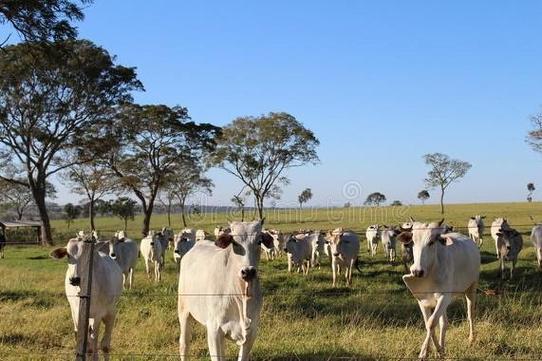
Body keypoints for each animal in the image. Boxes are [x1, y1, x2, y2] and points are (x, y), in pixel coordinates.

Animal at [178, 219, 274, 360]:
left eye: (259, 241)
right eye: (234, 242)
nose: (248, 272)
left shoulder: (251, 334)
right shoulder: (214, 330)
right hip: (184, 310)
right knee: (184, 344)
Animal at [400, 219, 480, 360]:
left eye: (431, 242)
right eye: (412, 242)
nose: (417, 271)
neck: (431, 270)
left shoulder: (444, 297)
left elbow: (431, 323)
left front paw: (424, 352)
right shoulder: (423, 300)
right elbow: (429, 324)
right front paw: (438, 350)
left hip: (472, 287)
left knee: (470, 314)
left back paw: (471, 338)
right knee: (444, 323)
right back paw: (442, 347)